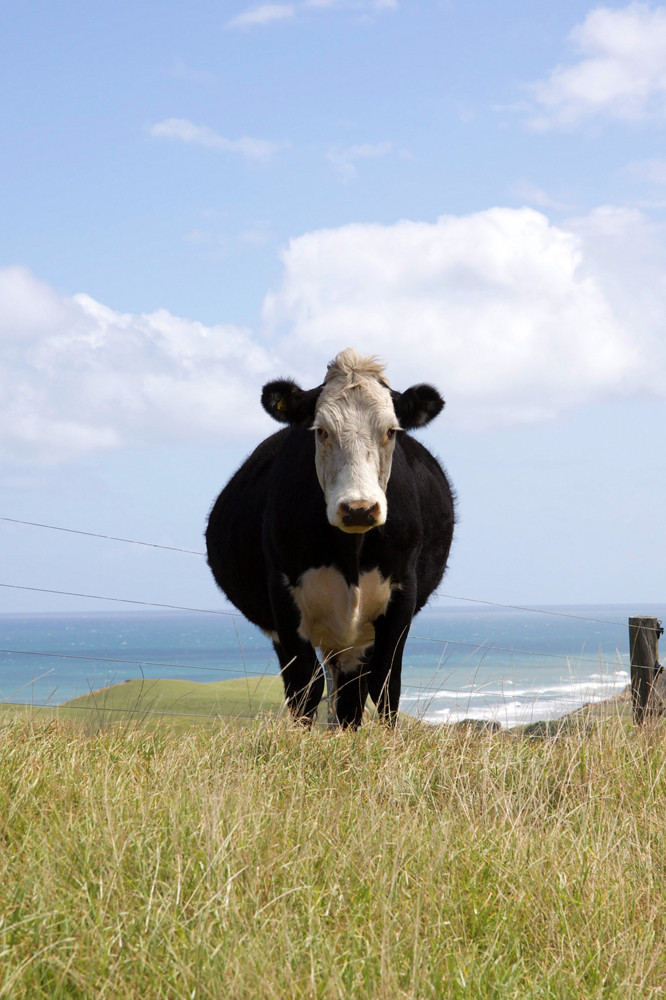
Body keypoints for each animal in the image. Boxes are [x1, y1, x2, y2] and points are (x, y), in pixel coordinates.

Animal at [206, 350, 456, 728]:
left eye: (391, 431)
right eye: (321, 431)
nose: (359, 509)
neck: (349, 553)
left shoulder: (402, 593)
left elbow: (386, 685)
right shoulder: (283, 595)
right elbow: (304, 688)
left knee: (353, 695)